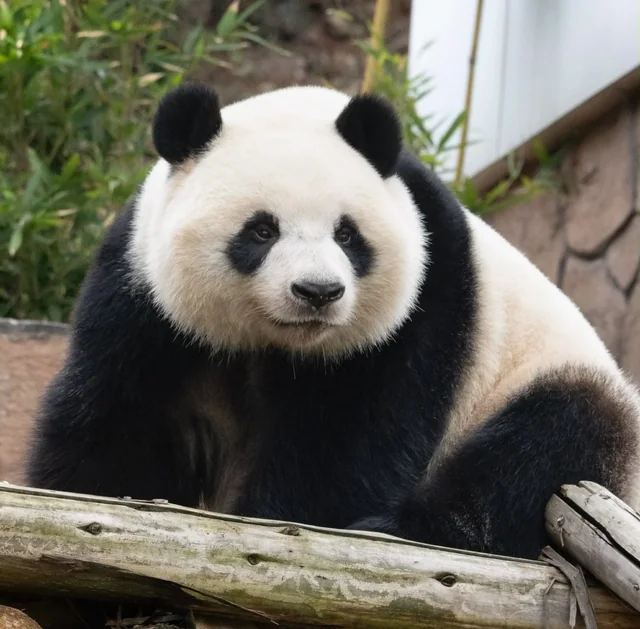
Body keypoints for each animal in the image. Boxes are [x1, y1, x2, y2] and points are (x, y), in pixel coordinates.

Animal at [26, 81, 640, 562]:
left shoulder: (418, 307)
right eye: (261, 230)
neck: (273, 343)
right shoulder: (146, 302)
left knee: (550, 442)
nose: (318, 292)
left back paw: (409, 527)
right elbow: (119, 420)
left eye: (347, 234)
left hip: (559, 386)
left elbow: (344, 451)